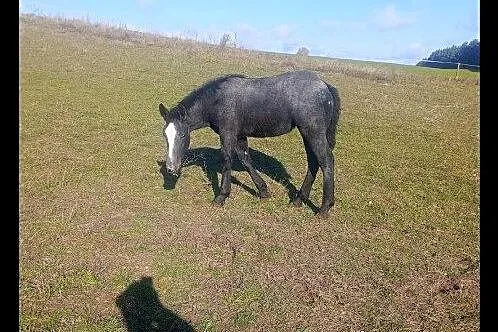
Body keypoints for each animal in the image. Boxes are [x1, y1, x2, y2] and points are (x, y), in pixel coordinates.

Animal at [158, 69, 340, 218]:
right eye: (165, 135)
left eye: (182, 135)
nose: (171, 168)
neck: (218, 100)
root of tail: (325, 85)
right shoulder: (240, 136)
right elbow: (245, 160)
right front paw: (264, 191)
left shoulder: (228, 133)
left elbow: (227, 160)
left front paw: (220, 197)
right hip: (307, 134)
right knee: (313, 162)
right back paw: (298, 200)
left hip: (313, 132)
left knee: (326, 161)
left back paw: (324, 208)